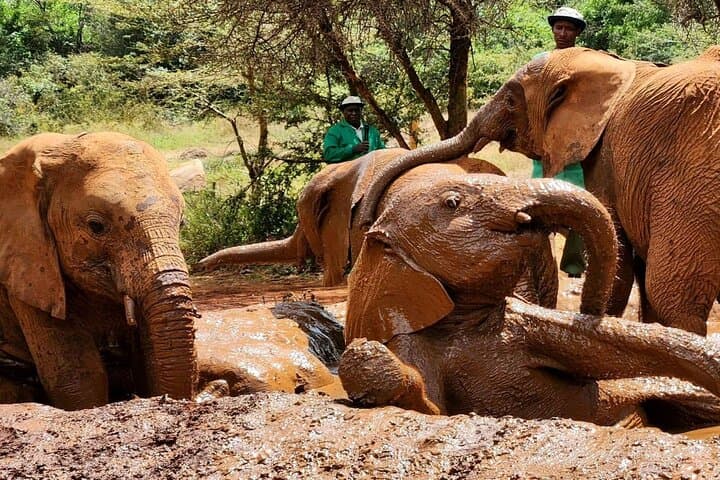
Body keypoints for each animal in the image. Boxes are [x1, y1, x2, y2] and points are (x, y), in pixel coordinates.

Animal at [339, 174, 720, 429]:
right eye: (453, 202)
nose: (591, 306)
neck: (464, 322)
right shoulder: (409, 338)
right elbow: (432, 409)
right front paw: (368, 359)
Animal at [355, 46, 720, 335]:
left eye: (510, 101)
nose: (365, 223)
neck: (610, 64)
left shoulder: (607, 157)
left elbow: (622, 260)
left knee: (673, 295)